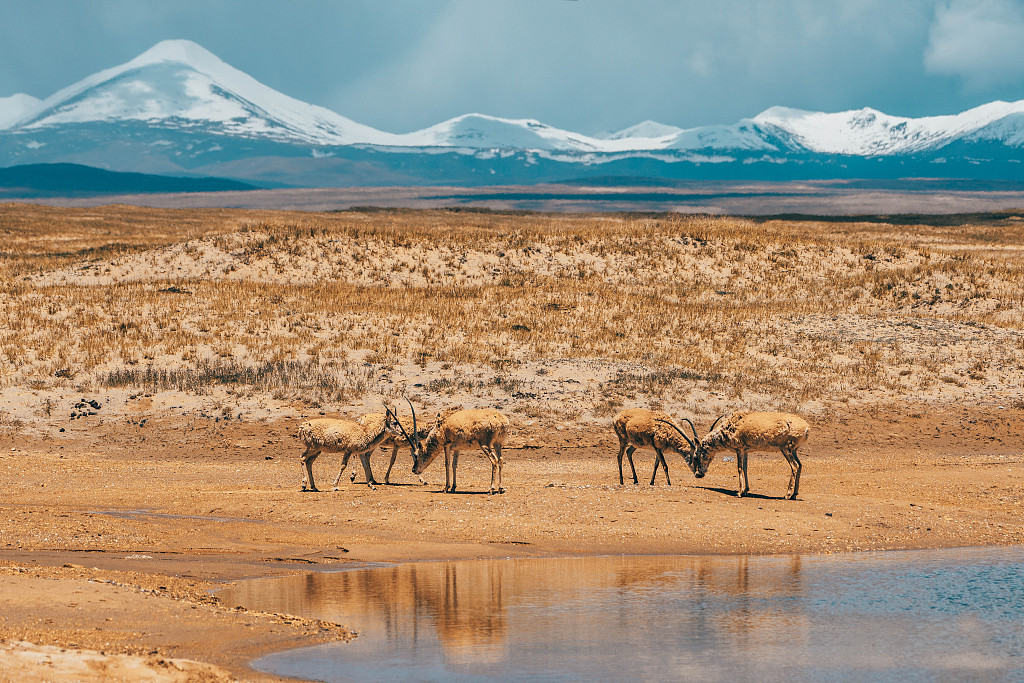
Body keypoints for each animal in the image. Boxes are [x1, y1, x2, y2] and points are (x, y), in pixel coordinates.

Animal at [659, 411, 811, 501]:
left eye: (695, 456)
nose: (698, 474)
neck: (729, 426)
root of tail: (807, 428)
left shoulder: (738, 449)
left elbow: (739, 468)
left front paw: (739, 492)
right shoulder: (746, 450)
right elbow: (746, 468)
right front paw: (746, 491)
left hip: (786, 449)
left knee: (795, 466)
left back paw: (788, 495)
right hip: (794, 450)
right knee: (800, 465)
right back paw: (795, 494)